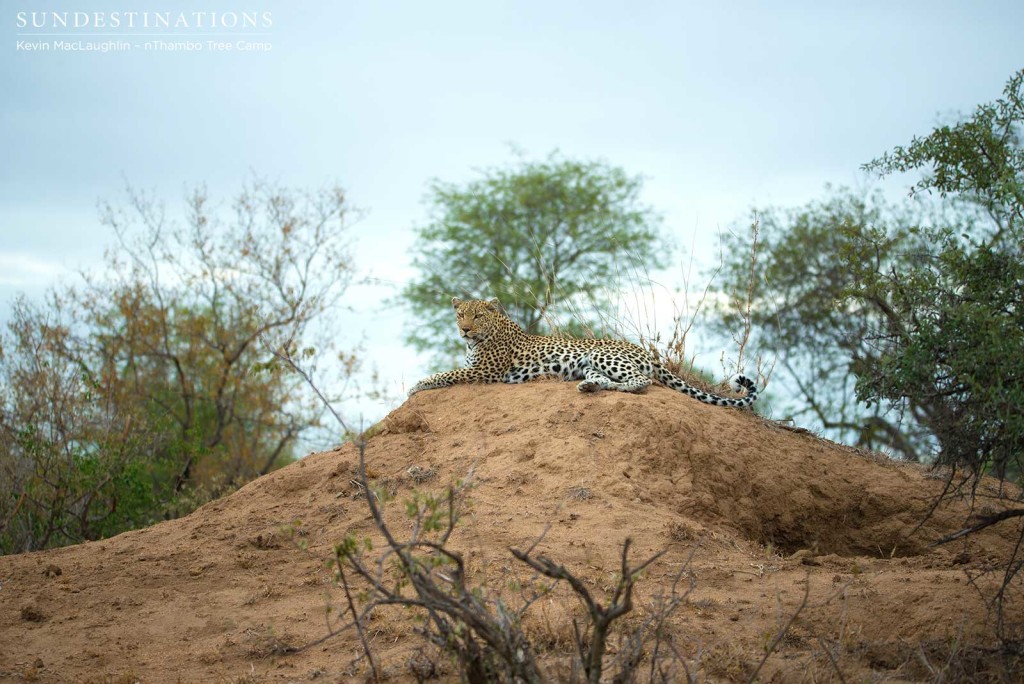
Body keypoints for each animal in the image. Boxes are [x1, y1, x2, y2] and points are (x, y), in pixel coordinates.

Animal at [409, 296, 761, 409]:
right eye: (460, 315)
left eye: (478, 316)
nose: (465, 330)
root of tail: (646, 352)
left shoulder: (484, 371)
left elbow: (445, 373)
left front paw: (416, 386)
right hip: (589, 362)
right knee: (611, 380)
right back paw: (589, 386)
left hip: (605, 356)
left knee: (641, 382)